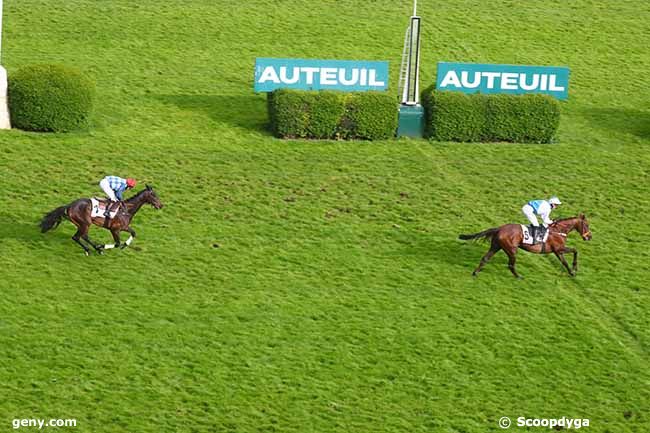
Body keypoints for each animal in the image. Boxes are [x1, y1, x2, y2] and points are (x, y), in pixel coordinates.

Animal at [458, 213, 588, 276]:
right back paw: (518, 276)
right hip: (512, 249)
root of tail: (499, 228)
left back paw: (475, 273)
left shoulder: (557, 251)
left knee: (485, 258)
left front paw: (572, 271)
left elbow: (566, 260)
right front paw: (574, 270)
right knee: (510, 265)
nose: (589, 236)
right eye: (587, 225)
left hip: (496, 246)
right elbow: (574, 252)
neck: (558, 230)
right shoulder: (558, 249)